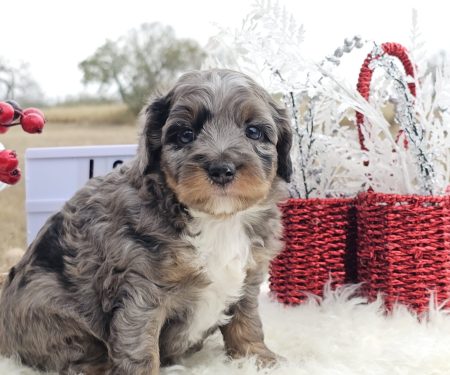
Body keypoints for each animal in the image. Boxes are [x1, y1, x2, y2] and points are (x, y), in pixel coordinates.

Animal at [0, 69, 292, 374]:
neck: (217, 220)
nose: (221, 170)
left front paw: (258, 359)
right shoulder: (141, 293)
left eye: (253, 131)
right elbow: (140, 348)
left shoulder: (249, 276)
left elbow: (246, 322)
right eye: (186, 134)